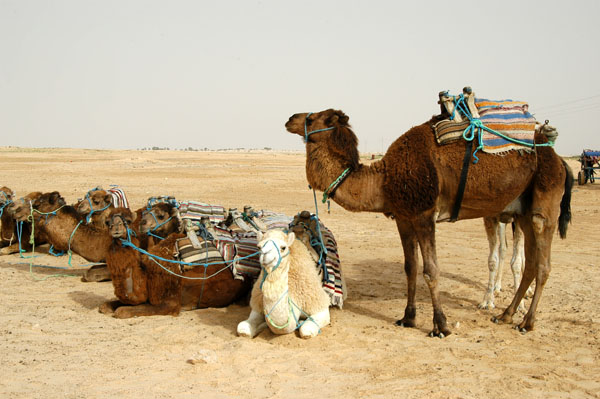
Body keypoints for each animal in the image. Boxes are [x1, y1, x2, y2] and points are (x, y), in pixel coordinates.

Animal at [286, 108, 572, 336]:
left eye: (310, 118)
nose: (290, 119)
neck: (384, 180)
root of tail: (560, 161)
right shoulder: (404, 218)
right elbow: (410, 268)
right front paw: (407, 318)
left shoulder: (424, 215)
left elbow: (431, 270)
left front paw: (440, 325)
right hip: (522, 211)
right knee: (531, 263)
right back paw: (505, 315)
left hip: (544, 204)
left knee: (543, 264)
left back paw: (526, 322)